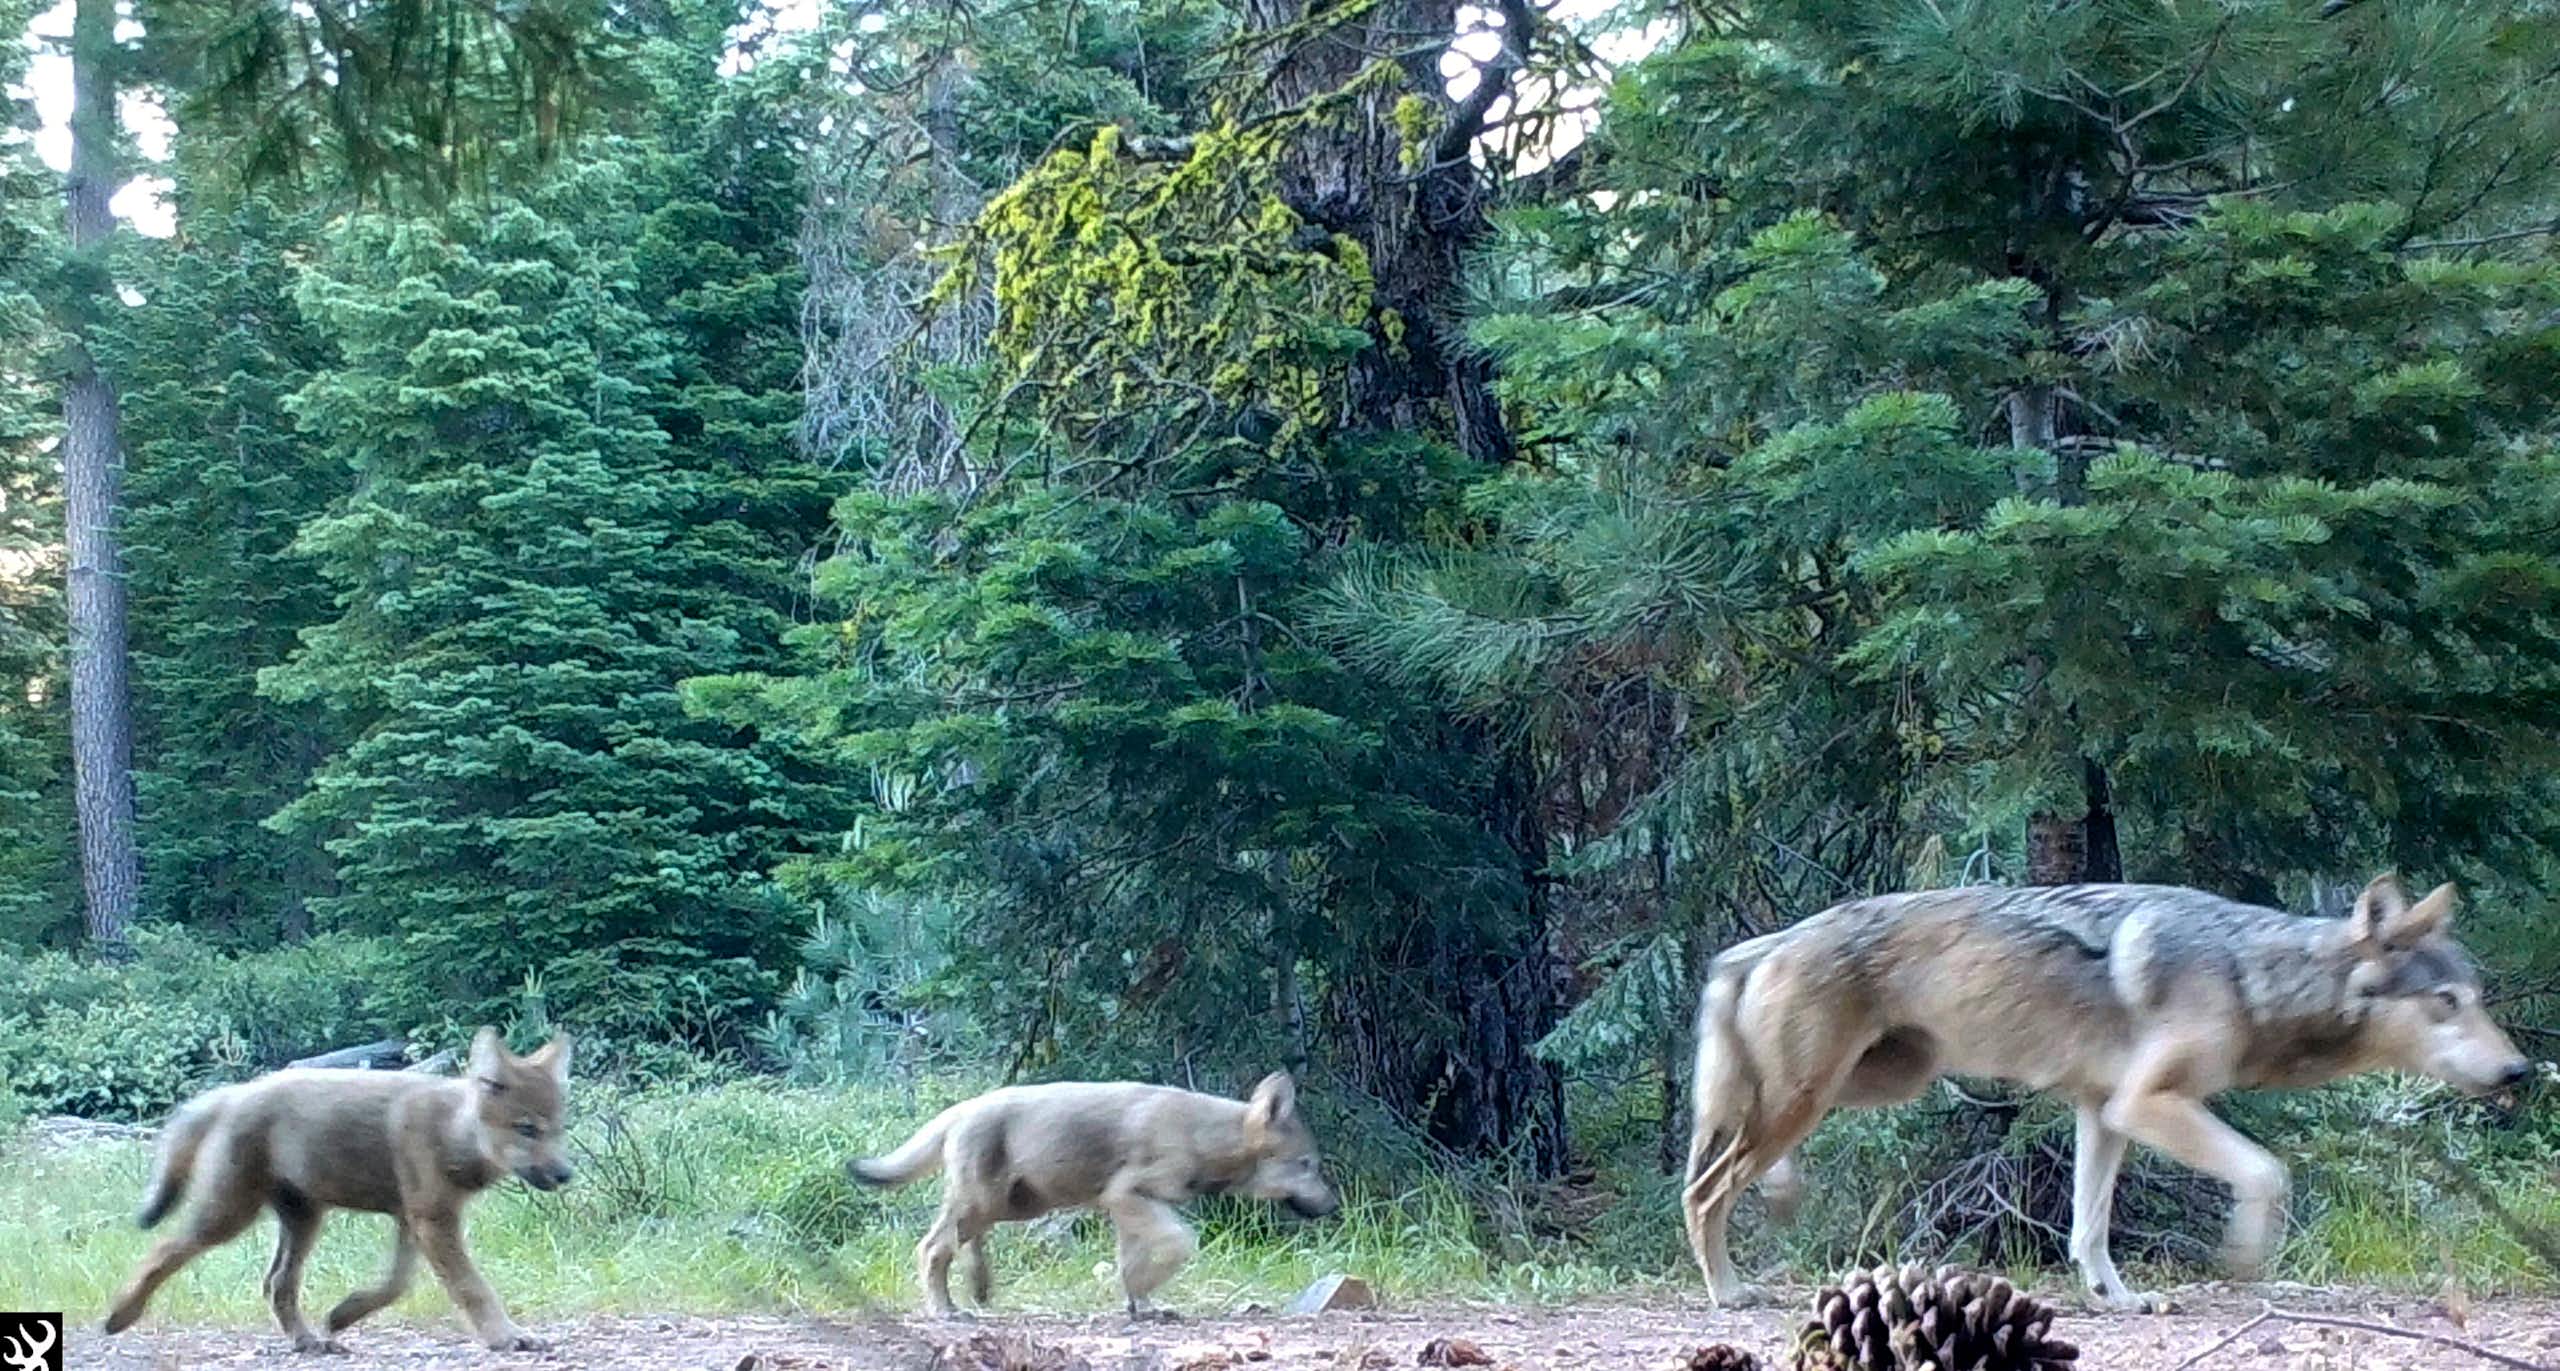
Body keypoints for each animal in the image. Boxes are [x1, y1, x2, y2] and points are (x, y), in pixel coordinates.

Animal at [102, 1028, 574, 1354]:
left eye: (558, 1130)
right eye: (527, 1129)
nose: (566, 1173)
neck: (451, 1131)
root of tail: (233, 1093)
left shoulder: (412, 1220)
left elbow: (395, 1285)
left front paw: (344, 1314)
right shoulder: (432, 1220)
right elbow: (473, 1288)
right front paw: (508, 1337)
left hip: (304, 1220)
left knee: (276, 1284)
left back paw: (310, 1341)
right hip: (228, 1217)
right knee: (162, 1250)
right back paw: (119, 1316)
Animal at [850, 1072, 1340, 1319]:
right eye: (1308, 1166)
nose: (1335, 1206)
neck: (1204, 1137)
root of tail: (962, 1107)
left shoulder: (1127, 1209)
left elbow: (1131, 1265)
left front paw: (1142, 1306)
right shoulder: (1125, 1196)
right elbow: (1180, 1243)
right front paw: (1143, 1298)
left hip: (1010, 1207)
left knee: (963, 1245)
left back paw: (978, 1290)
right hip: (987, 1204)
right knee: (932, 1248)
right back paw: (945, 1310)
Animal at [1683, 874, 2528, 1312]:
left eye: (2479, 998)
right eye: (2447, 1002)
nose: (2521, 1071)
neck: (2250, 976)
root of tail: (1760, 943)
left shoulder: (2103, 1109)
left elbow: (2088, 1228)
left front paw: (2114, 1297)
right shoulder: (2145, 1103)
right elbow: (2268, 1170)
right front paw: (2244, 1256)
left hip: (1875, 1083)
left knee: (1738, 1163)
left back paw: (1780, 1196)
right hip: (1812, 1095)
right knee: (1704, 1190)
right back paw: (1728, 1289)